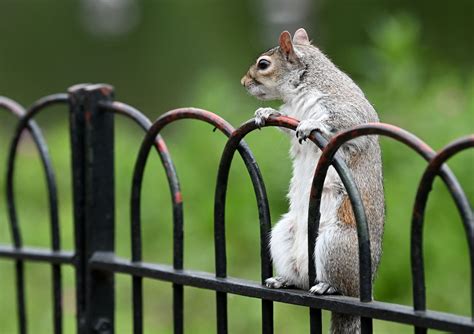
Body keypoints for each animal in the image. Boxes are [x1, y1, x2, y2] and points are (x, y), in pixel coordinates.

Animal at [241, 29, 386, 334]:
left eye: (263, 64)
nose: (244, 82)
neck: (302, 87)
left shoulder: (346, 107)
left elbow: (344, 121)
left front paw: (312, 124)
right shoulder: (292, 114)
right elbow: (286, 126)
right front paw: (266, 113)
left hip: (335, 243)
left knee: (338, 284)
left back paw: (329, 287)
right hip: (282, 236)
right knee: (300, 279)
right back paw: (284, 279)